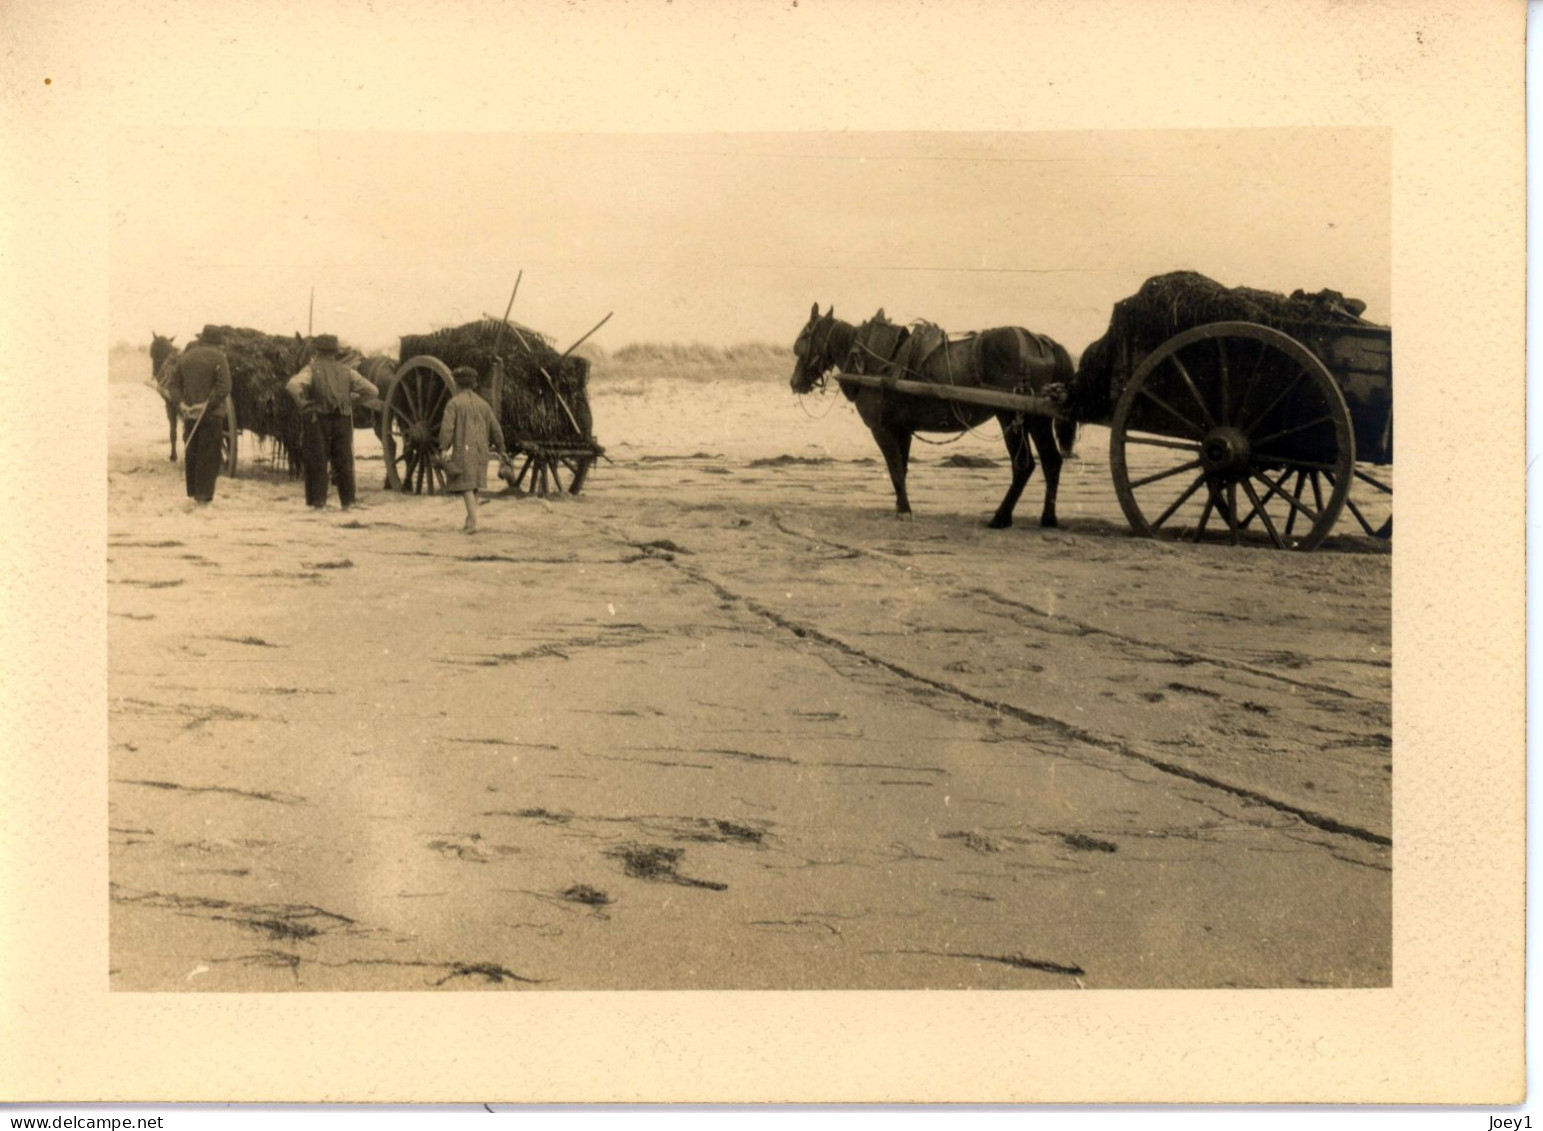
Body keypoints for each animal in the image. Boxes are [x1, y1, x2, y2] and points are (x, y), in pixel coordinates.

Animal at [796, 302, 1073, 527]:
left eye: (801, 342)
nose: (794, 382)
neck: (873, 358)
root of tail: (1040, 341)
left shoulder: (881, 428)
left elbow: (895, 468)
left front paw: (904, 511)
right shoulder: (901, 428)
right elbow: (902, 468)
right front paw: (900, 506)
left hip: (1011, 415)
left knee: (1023, 464)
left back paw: (1001, 517)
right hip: (1037, 418)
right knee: (1051, 461)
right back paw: (1048, 518)